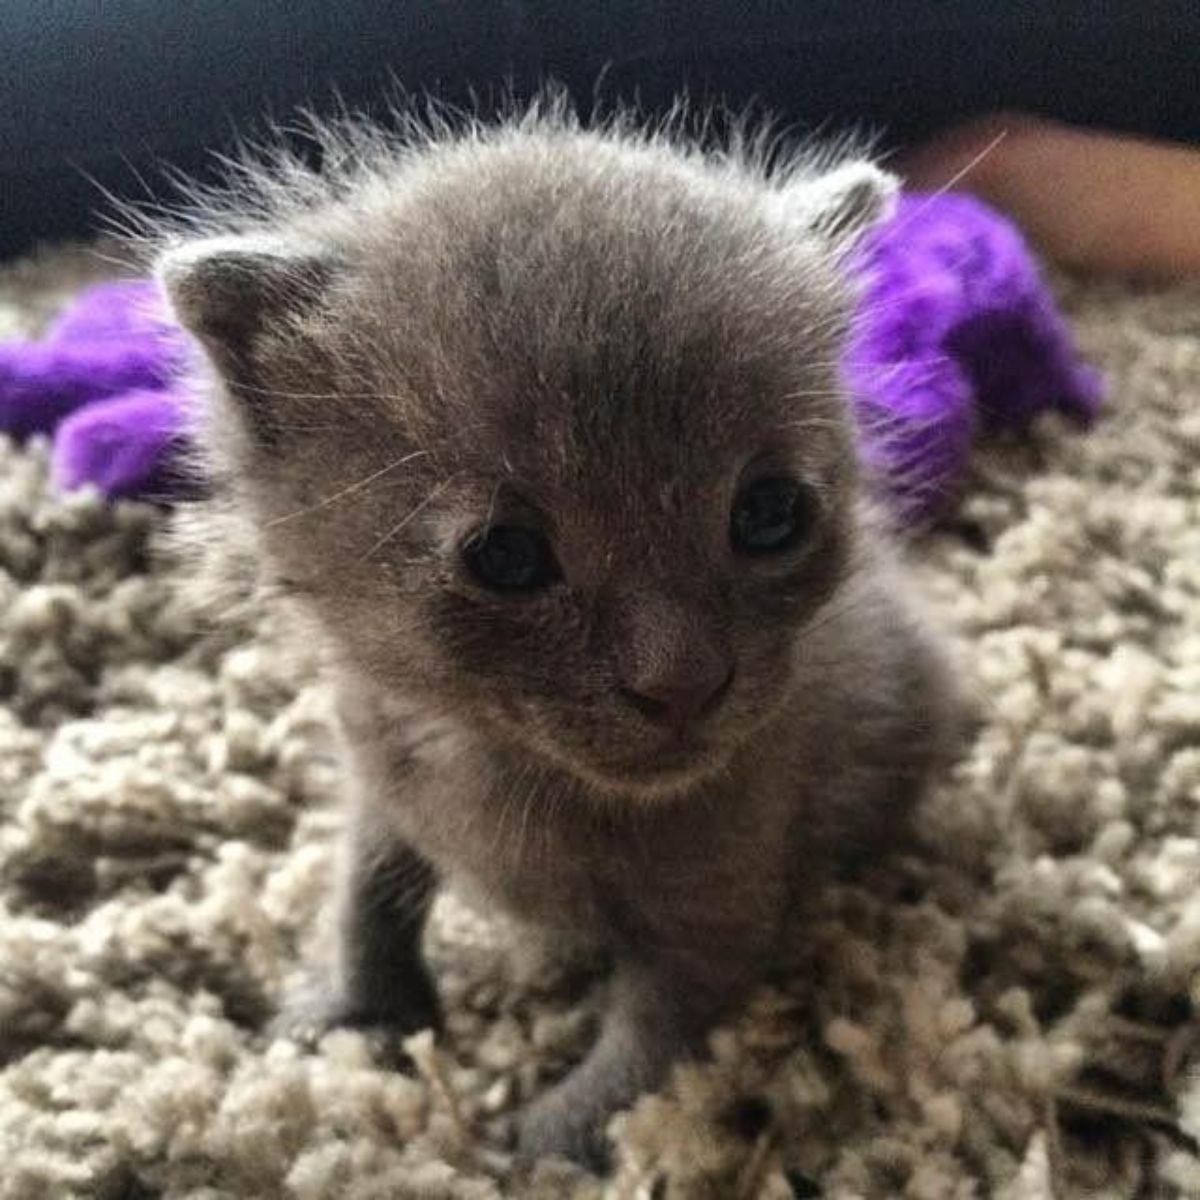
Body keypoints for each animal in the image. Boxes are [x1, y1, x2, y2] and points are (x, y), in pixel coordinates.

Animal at [157, 105, 964, 1171]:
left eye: (769, 513)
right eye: (505, 556)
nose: (682, 683)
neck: (512, 772)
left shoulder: (720, 908)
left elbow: (660, 1041)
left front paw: (551, 1136)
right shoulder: (377, 771)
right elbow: (363, 893)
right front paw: (348, 1007)